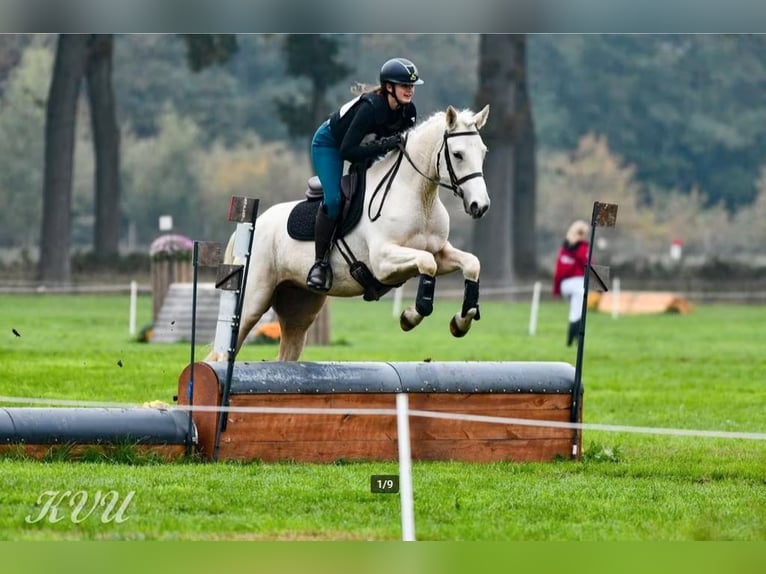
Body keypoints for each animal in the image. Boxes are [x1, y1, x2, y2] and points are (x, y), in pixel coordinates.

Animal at [205, 104, 491, 362]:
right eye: (457, 154)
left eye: (483, 152)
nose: (480, 206)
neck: (419, 197)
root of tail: (252, 227)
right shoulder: (384, 262)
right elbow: (427, 264)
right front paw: (410, 317)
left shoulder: (440, 251)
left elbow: (471, 264)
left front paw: (461, 321)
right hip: (252, 300)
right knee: (220, 353)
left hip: (299, 306)